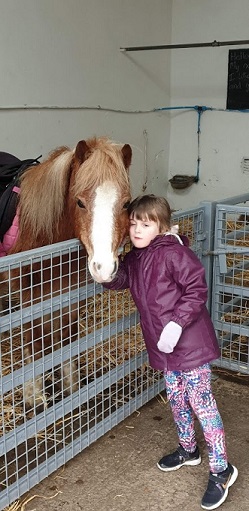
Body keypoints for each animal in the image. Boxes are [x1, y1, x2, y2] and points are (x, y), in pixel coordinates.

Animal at [6, 137, 132, 412]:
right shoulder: (27, 295)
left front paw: (72, 386)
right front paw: (34, 395)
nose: (104, 268)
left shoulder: (69, 292)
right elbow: (33, 340)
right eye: (80, 202)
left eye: (127, 203)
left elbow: (68, 336)